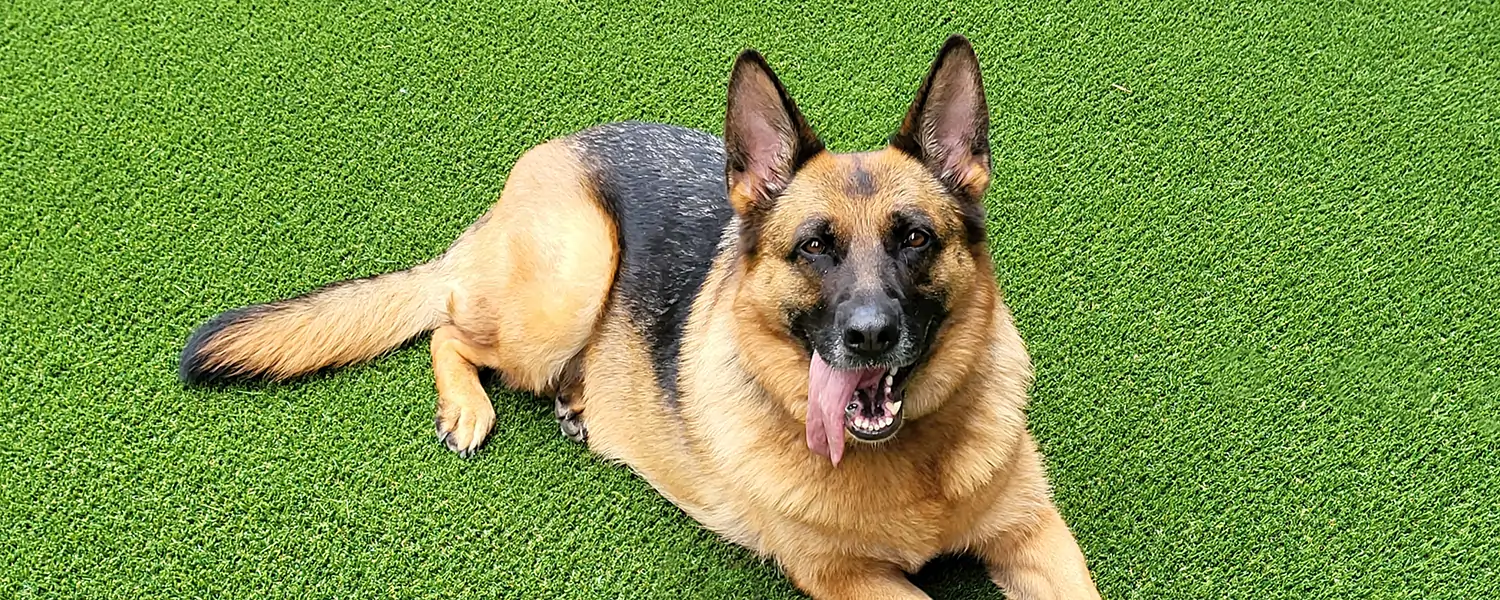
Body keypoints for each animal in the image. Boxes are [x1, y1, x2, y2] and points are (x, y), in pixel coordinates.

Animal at [184, 35, 1104, 597]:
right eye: (815, 247)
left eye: (915, 238)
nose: (870, 337)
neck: (916, 464)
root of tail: (550, 154)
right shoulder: (848, 577)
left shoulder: (1035, 534)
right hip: (573, 273)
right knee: (449, 323)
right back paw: (470, 407)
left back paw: (582, 403)